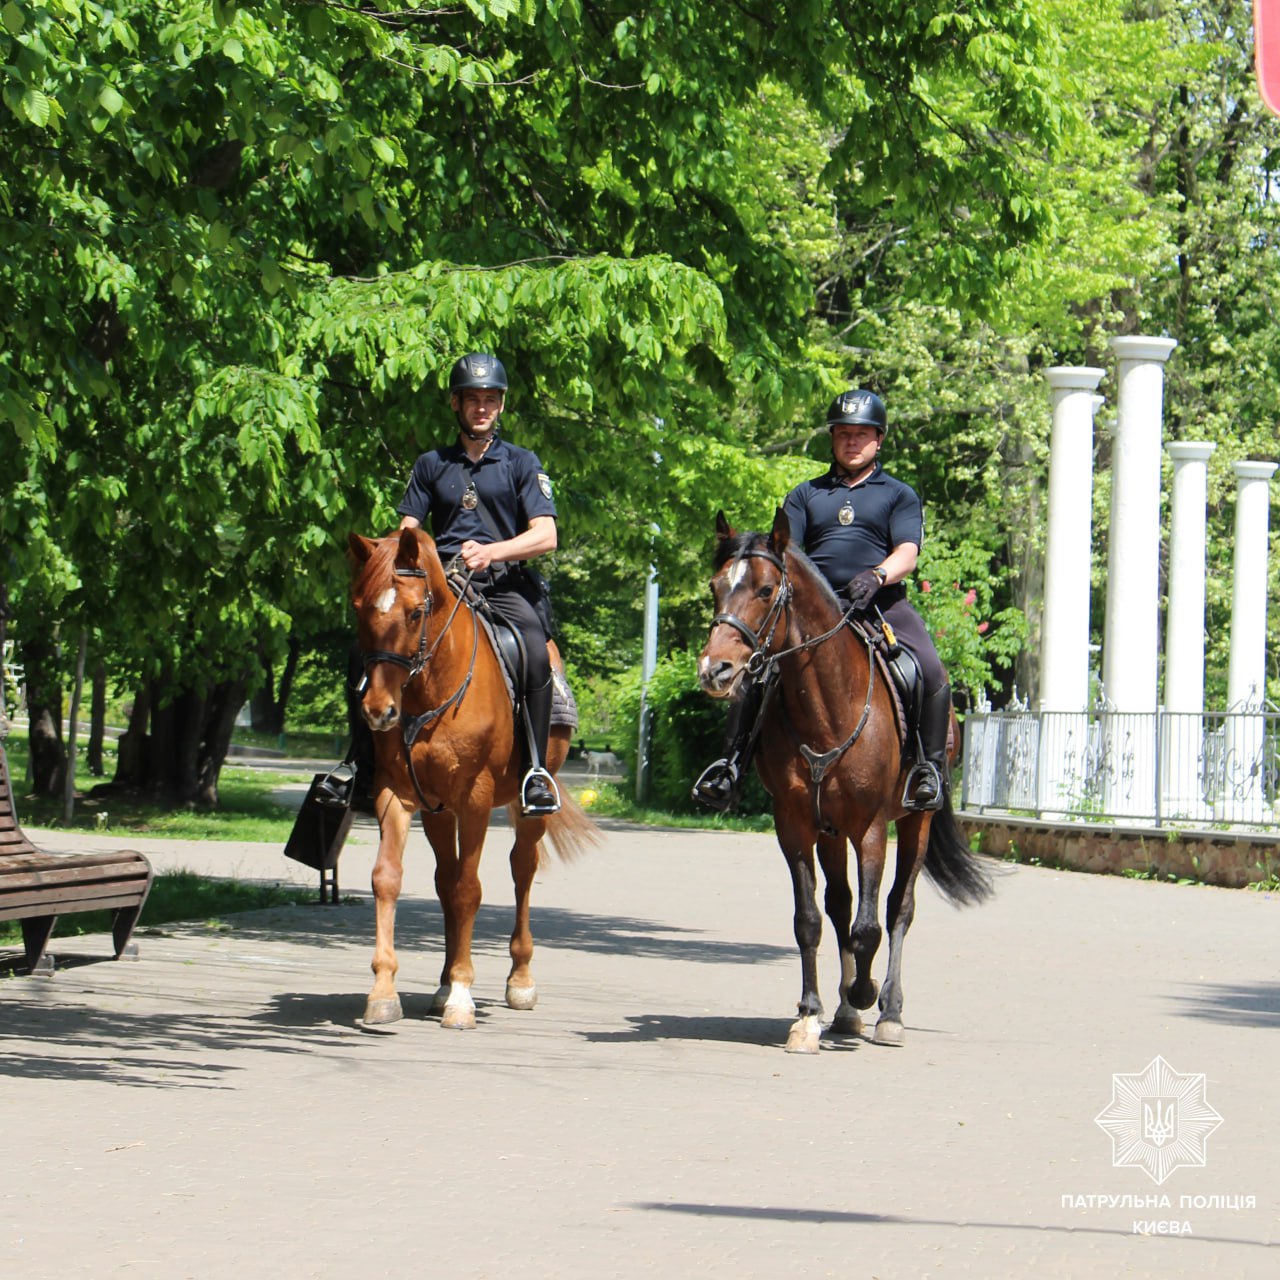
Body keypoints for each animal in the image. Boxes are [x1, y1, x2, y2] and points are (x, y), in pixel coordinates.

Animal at [343, 524, 596, 1034]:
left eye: (415, 611)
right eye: (360, 607)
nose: (379, 711)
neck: (430, 693)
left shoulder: (475, 800)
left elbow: (468, 890)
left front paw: (462, 995)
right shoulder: (397, 795)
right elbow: (388, 879)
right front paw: (384, 992)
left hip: (526, 807)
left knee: (521, 870)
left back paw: (519, 980)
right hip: (438, 813)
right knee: (445, 879)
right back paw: (440, 986)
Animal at [701, 509, 988, 1049]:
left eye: (767, 590)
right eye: (715, 587)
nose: (715, 670)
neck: (826, 705)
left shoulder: (871, 828)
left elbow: (870, 925)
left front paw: (866, 992)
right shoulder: (794, 826)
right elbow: (810, 920)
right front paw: (810, 1014)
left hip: (913, 823)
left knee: (898, 909)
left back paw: (887, 1009)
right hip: (829, 832)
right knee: (838, 905)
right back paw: (845, 1010)